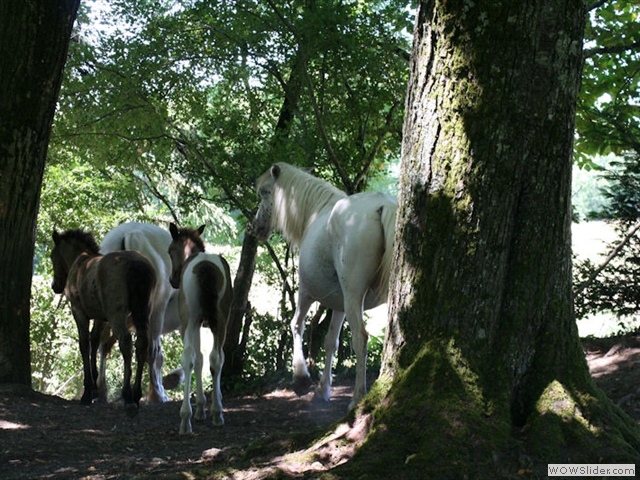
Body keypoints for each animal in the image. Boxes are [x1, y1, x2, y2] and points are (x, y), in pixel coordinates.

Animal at [50, 230, 155, 416]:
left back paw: (127, 396)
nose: (55, 286)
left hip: (117, 314)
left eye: (52, 256)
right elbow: (95, 340)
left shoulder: (79, 312)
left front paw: (87, 392)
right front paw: (94, 388)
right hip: (143, 313)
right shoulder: (101, 317)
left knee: (125, 342)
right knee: (142, 344)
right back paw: (136, 395)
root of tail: (135, 263)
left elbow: (84, 345)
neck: (81, 264)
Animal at [100, 221, 181, 402]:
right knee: (149, 350)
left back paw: (100, 390)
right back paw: (156, 395)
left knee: (101, 343)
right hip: (154, 311)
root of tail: (130, 235)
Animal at [168, 223, 232, 434]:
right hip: (221, 321)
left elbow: (197, 359)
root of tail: (206, 267)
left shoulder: (192, 324)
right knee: (217, 358)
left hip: (190, 320)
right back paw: (217, 413)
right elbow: (207, 359)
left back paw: (185, 419)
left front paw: (199, 407)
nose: (173, 280)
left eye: (170, 251)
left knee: (189, 357)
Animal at [254, 163, 396, 410]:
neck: (316, 212)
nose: (254, 227)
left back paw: (357, 397)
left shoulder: (306, 291)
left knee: (360, 338)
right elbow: (331, 342)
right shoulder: (339, 304)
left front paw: (301, 376)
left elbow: (296, 324)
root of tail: (382, 205)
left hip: (352, 296)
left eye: (265, 192)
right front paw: (322, 389)